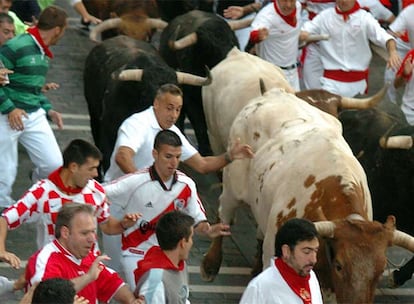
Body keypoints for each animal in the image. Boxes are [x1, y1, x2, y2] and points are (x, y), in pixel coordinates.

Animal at [199, 87, 414, 302]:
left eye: (380, 271)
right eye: (339, 266)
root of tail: (274, 93)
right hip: (232, 183)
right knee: (224, 214)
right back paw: (210, 265)